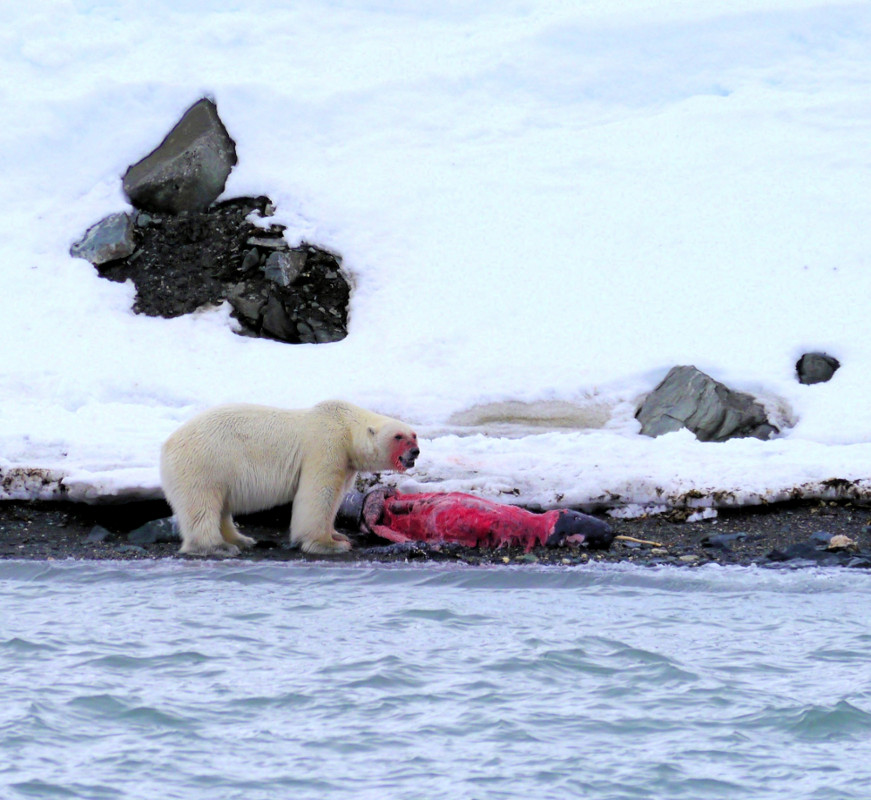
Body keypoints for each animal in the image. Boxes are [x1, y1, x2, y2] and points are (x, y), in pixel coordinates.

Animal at [164, 400, 422, 556]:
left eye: (414, 435)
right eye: (398, 437)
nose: (415, 452)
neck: (345, 426)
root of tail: (167, 445)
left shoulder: (346, 461)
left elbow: (336, 495)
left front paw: (337, 534)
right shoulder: (327, 447)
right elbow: (319, 494)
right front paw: (330, 544)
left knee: (221, 507)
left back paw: (241, 539)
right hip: (205, 463)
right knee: (202, 505)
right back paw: (218, 546)